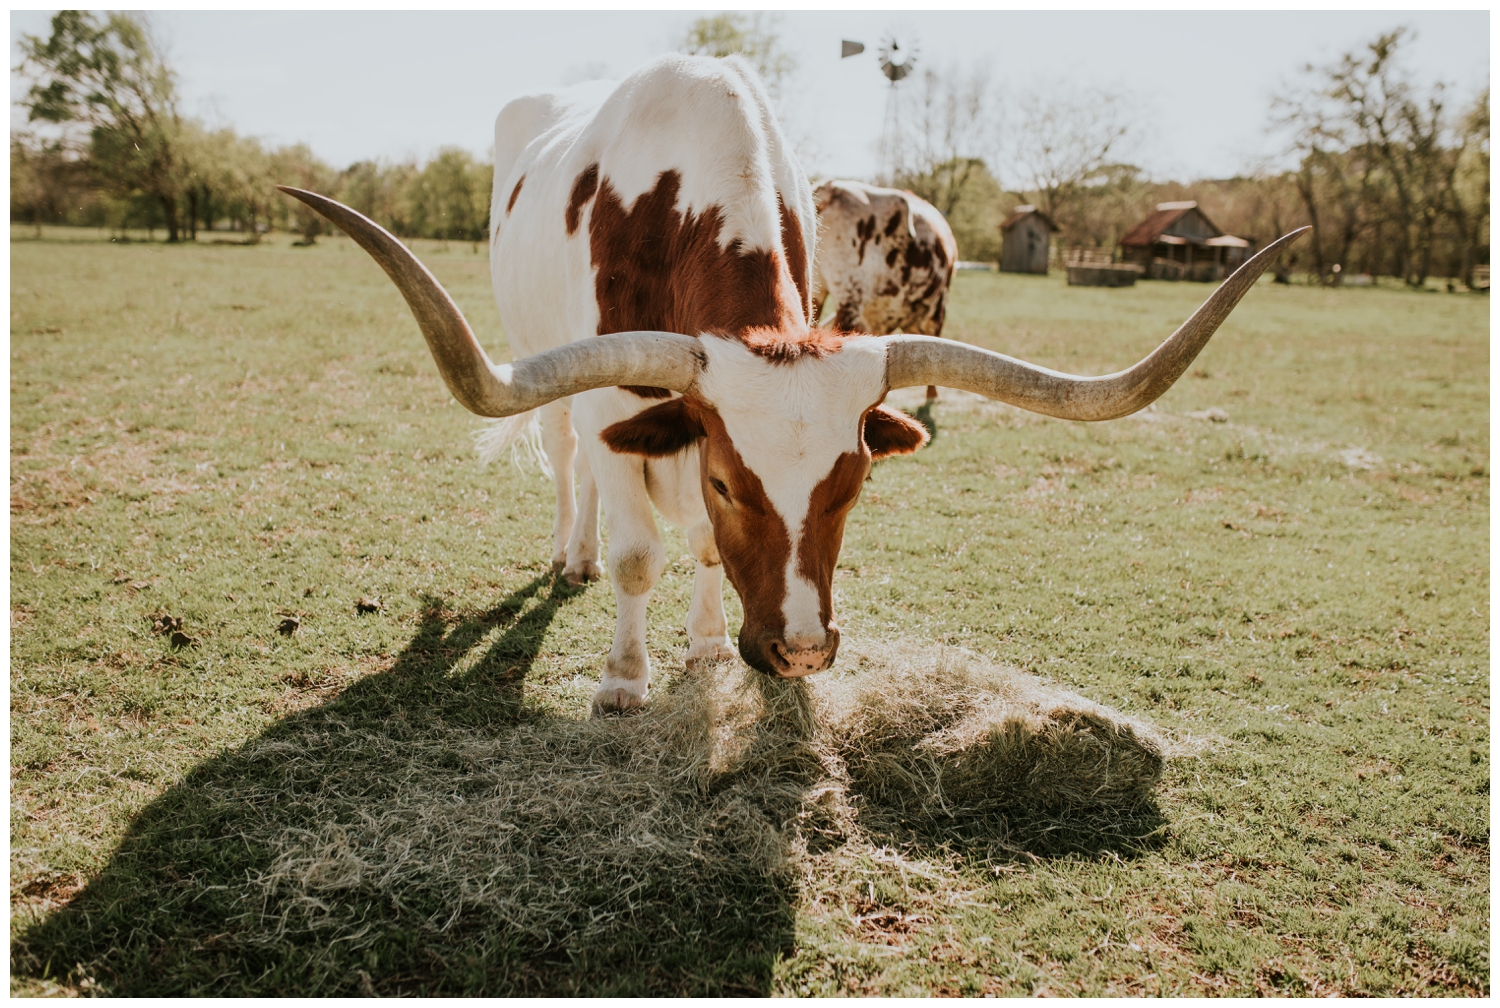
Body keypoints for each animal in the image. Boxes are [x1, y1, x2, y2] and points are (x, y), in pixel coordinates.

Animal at [279, 53, 1302, 717]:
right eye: (734, 483)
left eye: (852, 488)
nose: (803, 651)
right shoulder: (624, 404)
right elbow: (639, 553)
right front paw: (623, 678)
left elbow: (697, 548)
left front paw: (699, 644)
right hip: (549, 366)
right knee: (569, 461)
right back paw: (570, 555)